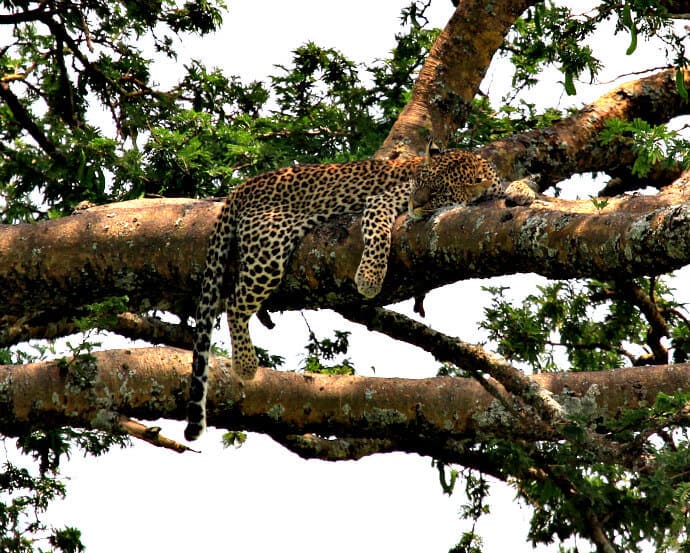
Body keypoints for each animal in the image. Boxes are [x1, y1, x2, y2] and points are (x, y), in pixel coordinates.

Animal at [184, 146, 536, 440]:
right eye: (419, 182)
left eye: (438, 191)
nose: (415, 203)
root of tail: (246, 185)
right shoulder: (383, 201)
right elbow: (378, 234)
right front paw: (369, 277)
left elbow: (517, 187)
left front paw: (523, 191)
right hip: (269, 247)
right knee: (235, 303)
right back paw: (245, 363)